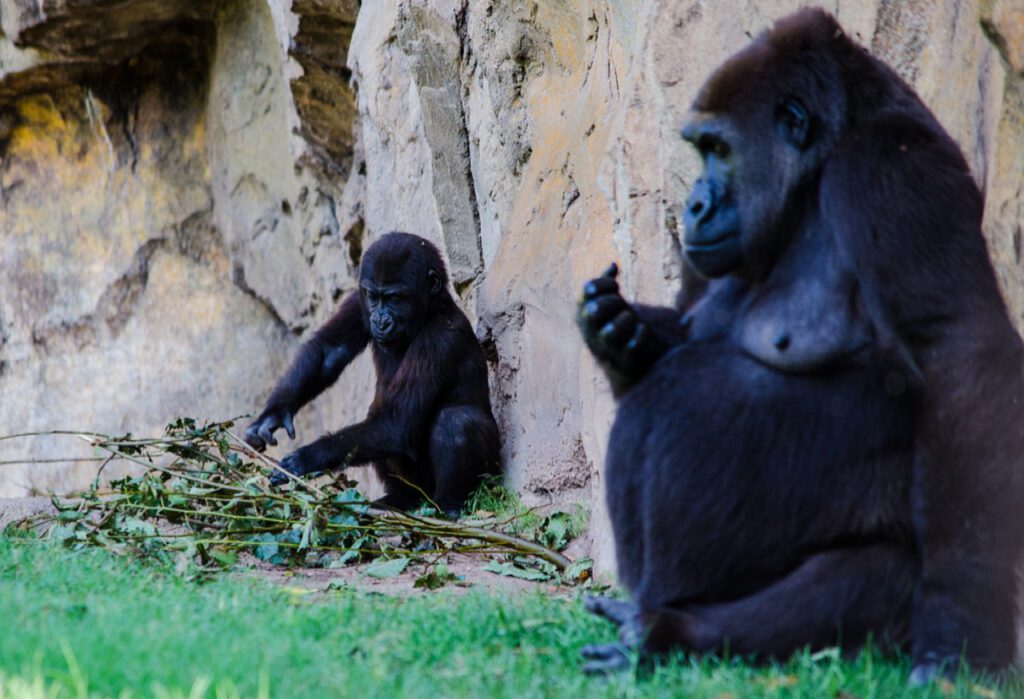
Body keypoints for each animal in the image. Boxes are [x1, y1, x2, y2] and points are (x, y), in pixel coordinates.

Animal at [247, 232, 503, 515]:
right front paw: (273, 415)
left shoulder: (440, 338)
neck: (432, 309)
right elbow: (328, 350)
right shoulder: (357, 301)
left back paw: (448, 505)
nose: (380, 320)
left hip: (489, 474)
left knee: (456, 420)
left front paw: (308, 458)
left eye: (394, 298)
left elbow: (396, 421)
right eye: (374, 296)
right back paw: (401, 497)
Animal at [577, 5, 1024, 683]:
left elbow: (956, 351)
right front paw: (621, 335)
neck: (816, 173)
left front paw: (956, 638)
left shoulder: (889, 170)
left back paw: (669, 632)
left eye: (719, 149)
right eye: (700, 149)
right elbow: (680, 330)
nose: (693, 205)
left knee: (875, 577)